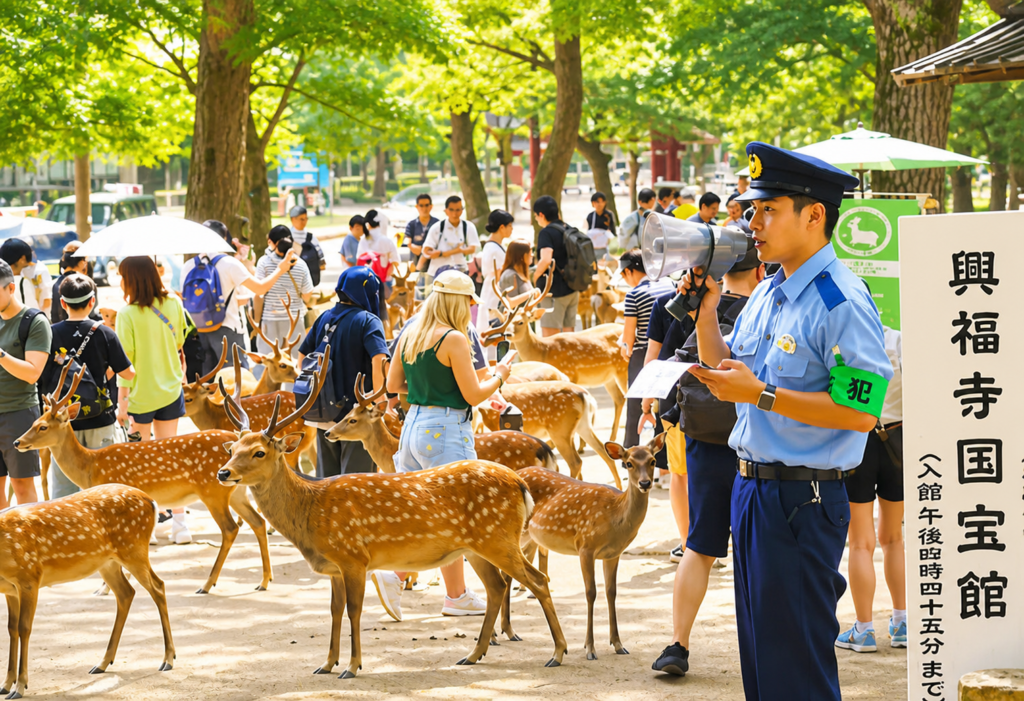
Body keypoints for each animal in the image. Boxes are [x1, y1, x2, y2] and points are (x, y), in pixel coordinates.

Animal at [0, 484, 175, 698]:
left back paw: (168, 659)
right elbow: (11, 629)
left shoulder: (29, 577)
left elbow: (24, 628)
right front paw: (5, 684)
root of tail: (151, 501)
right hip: (108, 562)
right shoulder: (9, 589)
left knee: (158, 587)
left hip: (134, 550)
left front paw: (19, 687)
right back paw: (102, 663)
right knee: (126, 593)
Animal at [14, 363, 274, 595]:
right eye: (33, 422)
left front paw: (104, 588)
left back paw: (207, 584)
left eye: (43, 427)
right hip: (236, 491)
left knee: (230, 528)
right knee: (257, 521)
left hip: (213, 491)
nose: (17, 442)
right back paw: (264, 580)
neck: (90, 467)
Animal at [478, 382, 621, 489]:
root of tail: (586, 397)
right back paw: (618, 487)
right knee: (603, 451)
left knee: (575, 461)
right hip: (583, 425)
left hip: (559, 430)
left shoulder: (495, 425)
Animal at [493, 279, 628, 442]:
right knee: (620, 399)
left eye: (521, 322)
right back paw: (612, 439)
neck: (544, 351)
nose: (506, 334)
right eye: (507, 319)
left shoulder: (571, 373)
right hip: (609, 377)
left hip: (623, 370)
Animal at [508, 434, 665, 662]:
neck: (615, 516)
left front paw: (618, 644)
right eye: (628, 463)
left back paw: (507, 633)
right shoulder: (585, 546)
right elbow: (591, 593)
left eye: (653, 461)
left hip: (527, 536)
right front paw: (590, 648)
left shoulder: (613, 554)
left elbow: (611, 592)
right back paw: (499, 635)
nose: (645, 483)